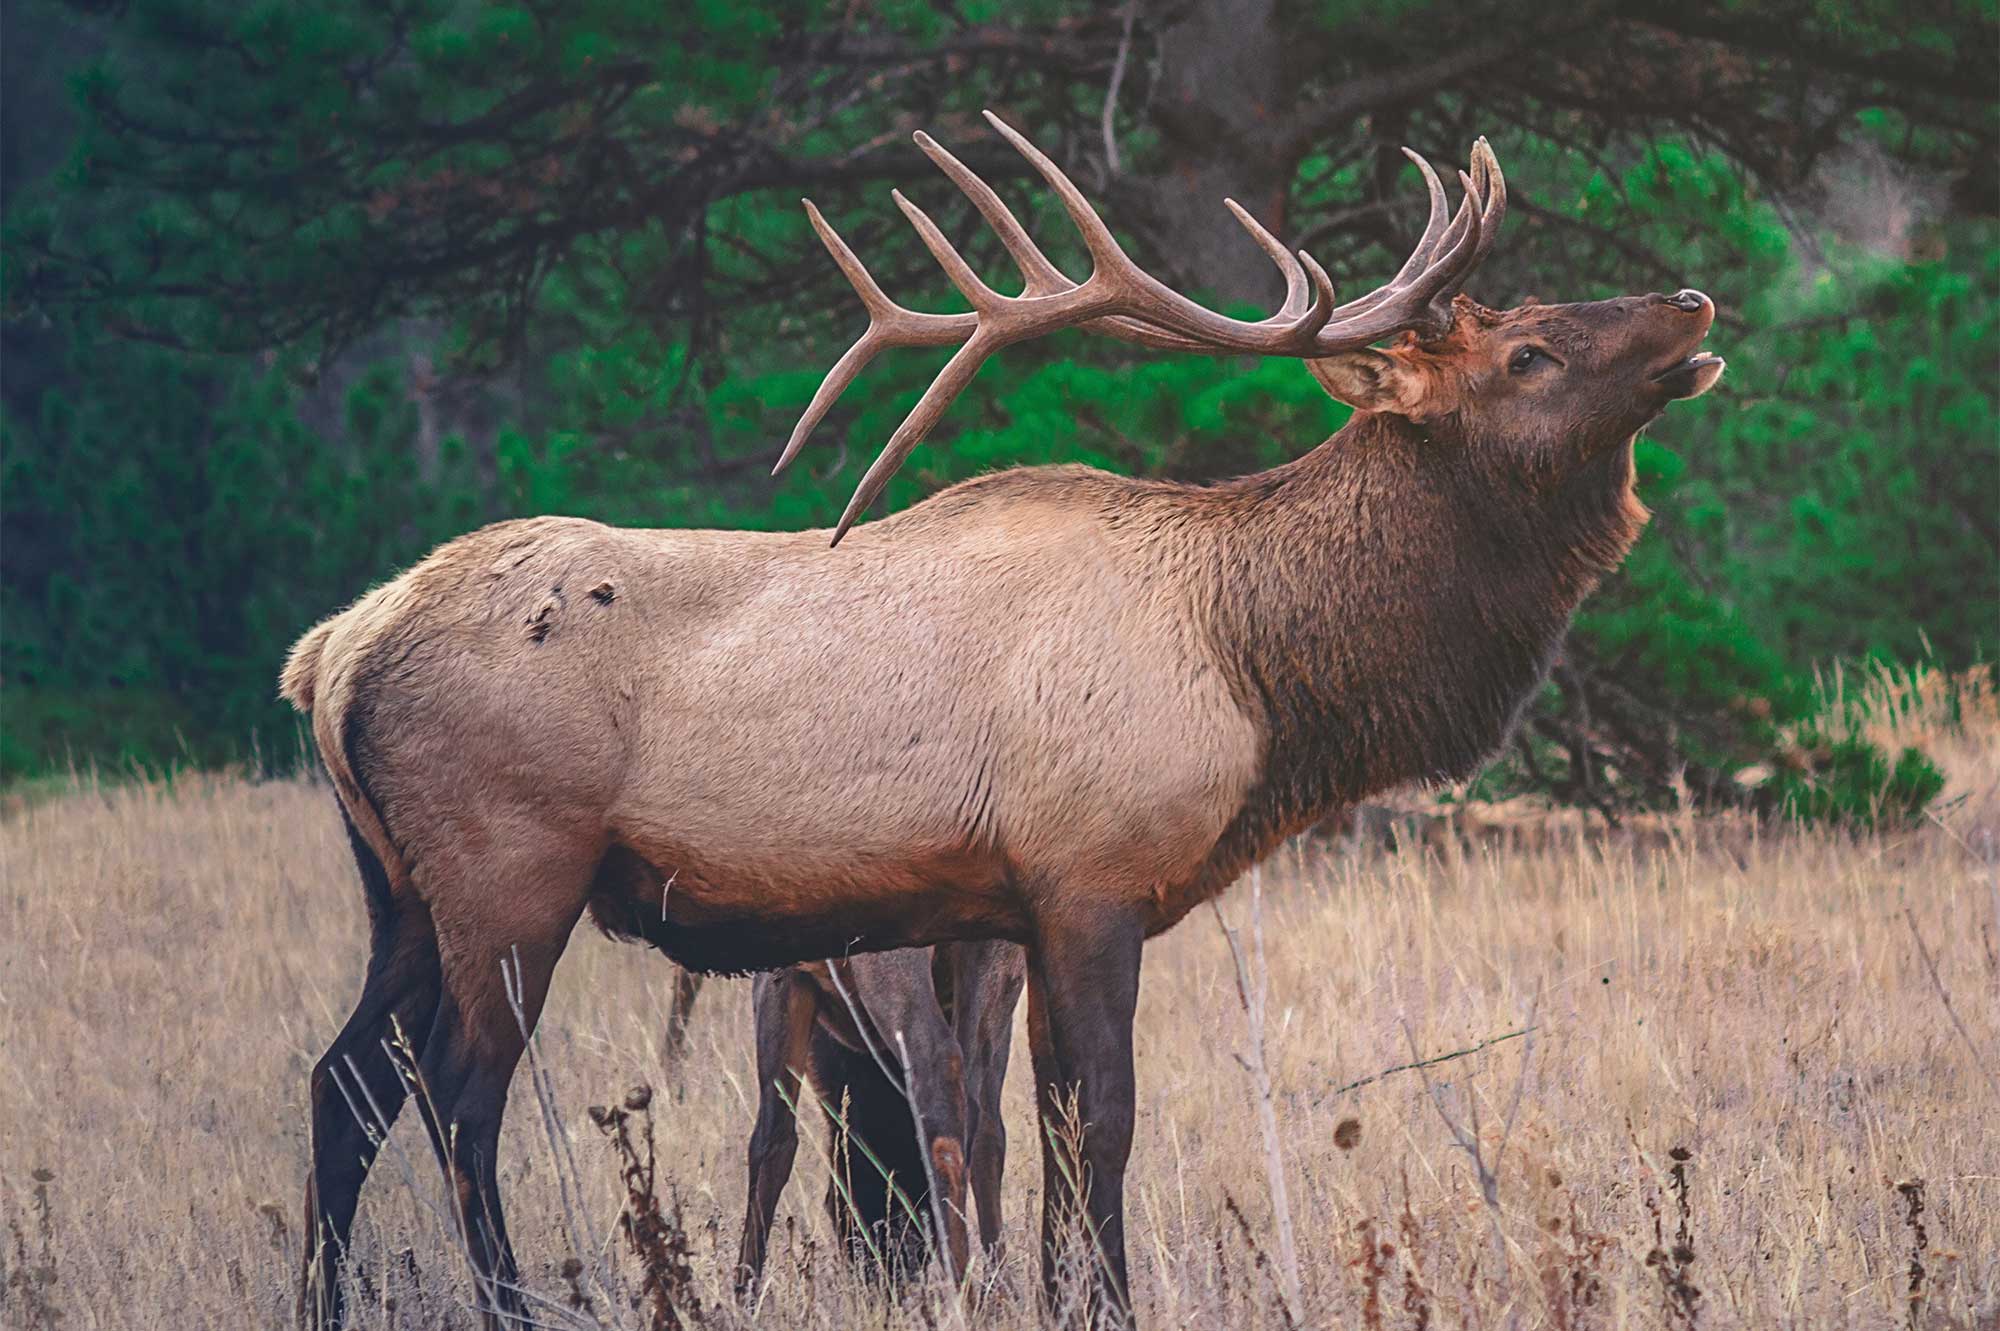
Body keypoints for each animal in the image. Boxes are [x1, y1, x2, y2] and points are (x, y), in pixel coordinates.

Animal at [282, 113, 1720, 1327]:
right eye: (1527, 352)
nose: (1692, 300)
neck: (1252, 663)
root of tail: (331, 653)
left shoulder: (1009, 907)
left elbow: (1034, 1130)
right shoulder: (1090, 873)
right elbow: (1104, 1122)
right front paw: (1107, 1301)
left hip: (396, 886)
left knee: (342, 1084)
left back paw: (325, 1299)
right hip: (511, 866)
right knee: (456, 1099)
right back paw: (514, 1300)